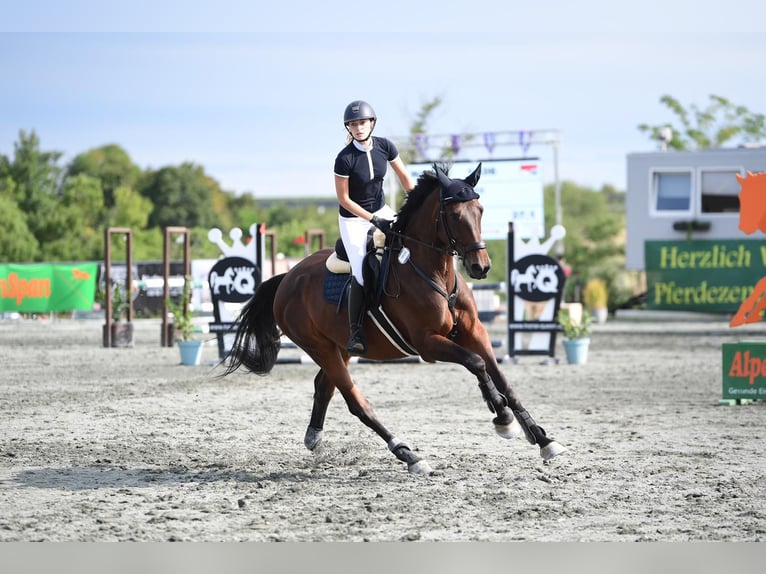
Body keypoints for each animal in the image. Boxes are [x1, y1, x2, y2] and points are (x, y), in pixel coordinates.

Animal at [225, 163, 568, 476]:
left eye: (479, 210)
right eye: (455, 216)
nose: (480, 267)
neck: (435, 272)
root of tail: (286, 278)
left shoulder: (474, 332)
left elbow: (500, 376)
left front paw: (541, 438)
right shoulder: (428, 344)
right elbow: (477, 363)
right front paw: (503, 419)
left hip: (341, 348)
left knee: (324, 386)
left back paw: (314, 438)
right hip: (319, 347)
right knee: (356, 402)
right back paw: (409, 455)